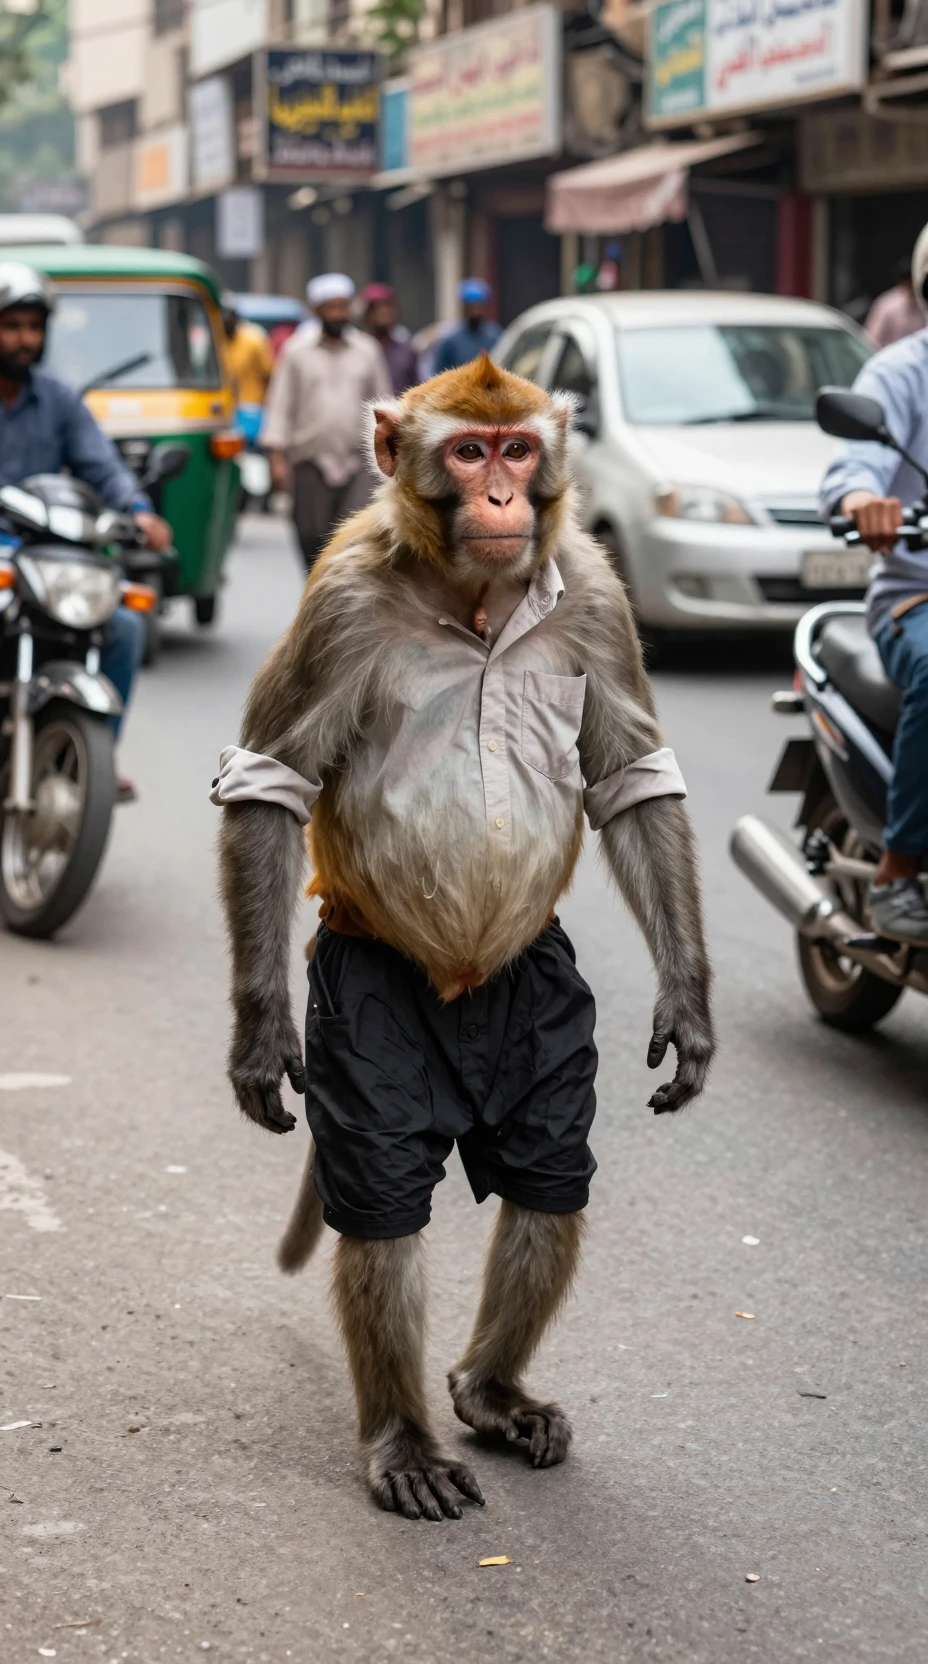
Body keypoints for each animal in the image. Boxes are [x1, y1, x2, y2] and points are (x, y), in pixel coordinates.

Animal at [211, 353, 714, 1521]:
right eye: (469, 451)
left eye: (519, 451)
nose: (497, 497)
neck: (475, 597)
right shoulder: (341, 600)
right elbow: (271, 786)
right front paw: (260, 1044)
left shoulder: (596, 589)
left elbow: (631, 781)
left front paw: (688, 1008)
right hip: (364, 998)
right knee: (383, 1197)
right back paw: (404, 1437)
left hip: (532, 1001)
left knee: (544, 1170)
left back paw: (488, 1390)